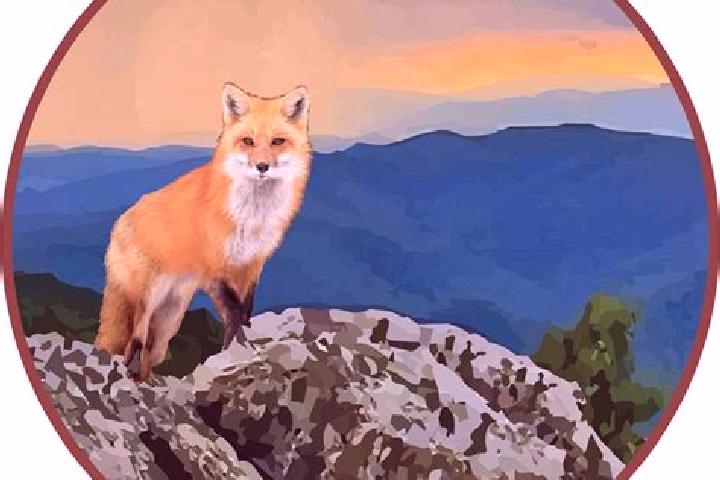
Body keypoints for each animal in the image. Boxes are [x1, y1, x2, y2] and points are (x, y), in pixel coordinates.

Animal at [94, 83, 312, 381]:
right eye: (248, 141)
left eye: (278, 141)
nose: (262, 167)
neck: (251, 217)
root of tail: (117, 225)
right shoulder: (214, 270)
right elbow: (233, 315)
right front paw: (238, 350)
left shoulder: (251, 265)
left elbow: (244, 311)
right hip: (146, 301)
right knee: (133, 341)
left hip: (169, 318)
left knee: (149, 348)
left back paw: (147, 381)